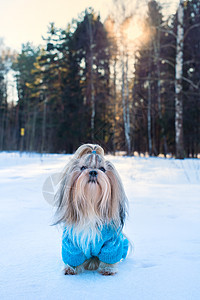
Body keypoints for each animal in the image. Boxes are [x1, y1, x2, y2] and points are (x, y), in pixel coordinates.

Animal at [54, 144, 129, 276]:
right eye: (83, 167)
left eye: (102, 169)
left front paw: (108, 269)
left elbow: (110, 256)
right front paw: (71, 268)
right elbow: (72, 256)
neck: (91, 206)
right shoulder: (71, 243)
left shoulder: (112, 243)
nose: (93, 171)